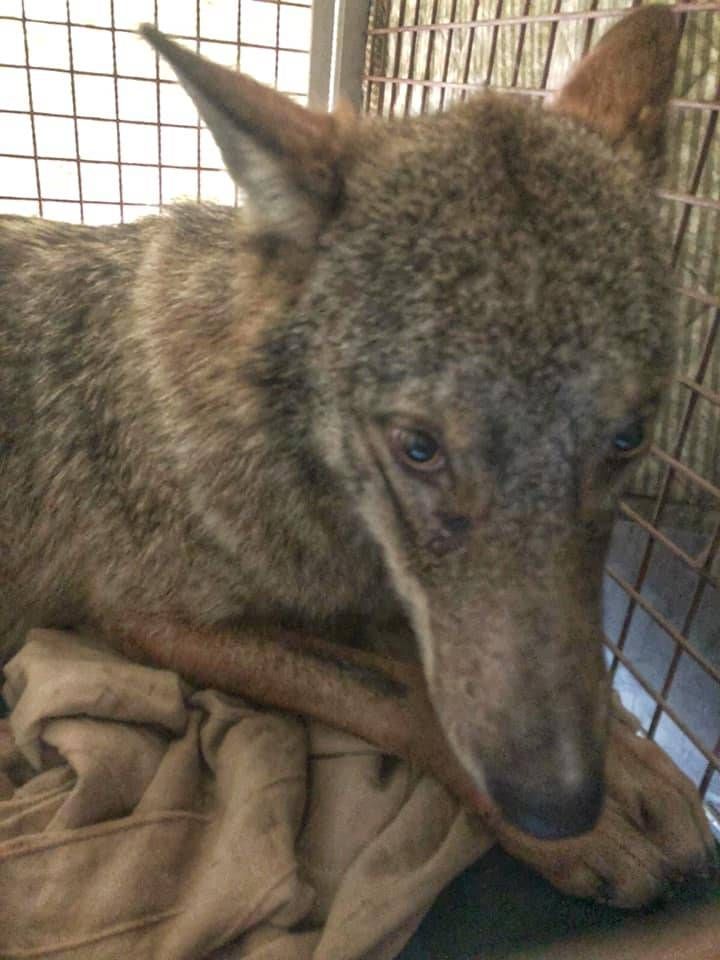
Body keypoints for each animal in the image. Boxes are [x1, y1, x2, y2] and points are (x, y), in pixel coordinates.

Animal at [0, 5, 715, 908]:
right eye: (418, 448)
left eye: (628, 440)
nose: (563, 807)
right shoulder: (143, 619)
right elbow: (398, 689)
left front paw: (638, 760)